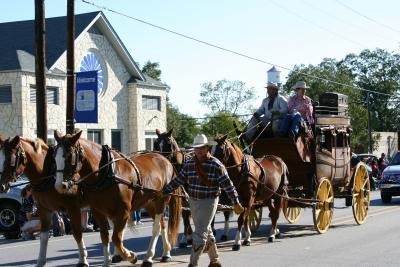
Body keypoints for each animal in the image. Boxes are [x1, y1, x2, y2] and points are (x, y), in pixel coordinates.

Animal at [0, 137, 88, 266]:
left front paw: (83, 259)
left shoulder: (73, 208)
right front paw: (41, 261)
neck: (49, 177)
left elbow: (77, 233)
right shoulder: (43, 209)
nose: (1, 186)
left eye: (9, 158)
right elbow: (44, 236)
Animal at [54, 131, 182, 266]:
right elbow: (105, 236)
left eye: (69, 155)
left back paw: (148, 257)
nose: (60, 185)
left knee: (156, 228)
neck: (106, 173)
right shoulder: (99, 211)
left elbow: (116, 237)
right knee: (162, 224)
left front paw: (130, 256)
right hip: (149, 203)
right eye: (54, 156)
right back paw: (166, 253)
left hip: (161, 201)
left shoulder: (123, 211)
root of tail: (165, 160)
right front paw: (107, 261)